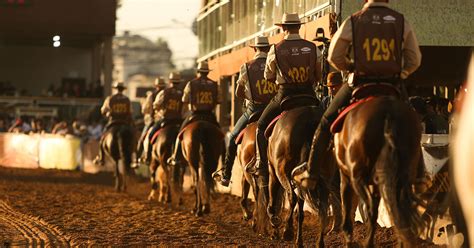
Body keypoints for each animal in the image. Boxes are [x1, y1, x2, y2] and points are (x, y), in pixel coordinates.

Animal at [264, 103, 338, 247]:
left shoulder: (274, 172)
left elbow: (276, 199)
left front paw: (276, 226)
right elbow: (300, 212)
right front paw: (299, 241)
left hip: (281, 171)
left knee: (291, 197)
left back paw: (287, 231)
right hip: (325, 177)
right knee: (323, 208)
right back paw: (319, 242)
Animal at [334, 94, 426, 246]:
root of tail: (389, 113)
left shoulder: (346, 177)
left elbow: (348, 208)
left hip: (358, 178)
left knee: (370, 209)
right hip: (401, 179)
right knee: (399, 211)